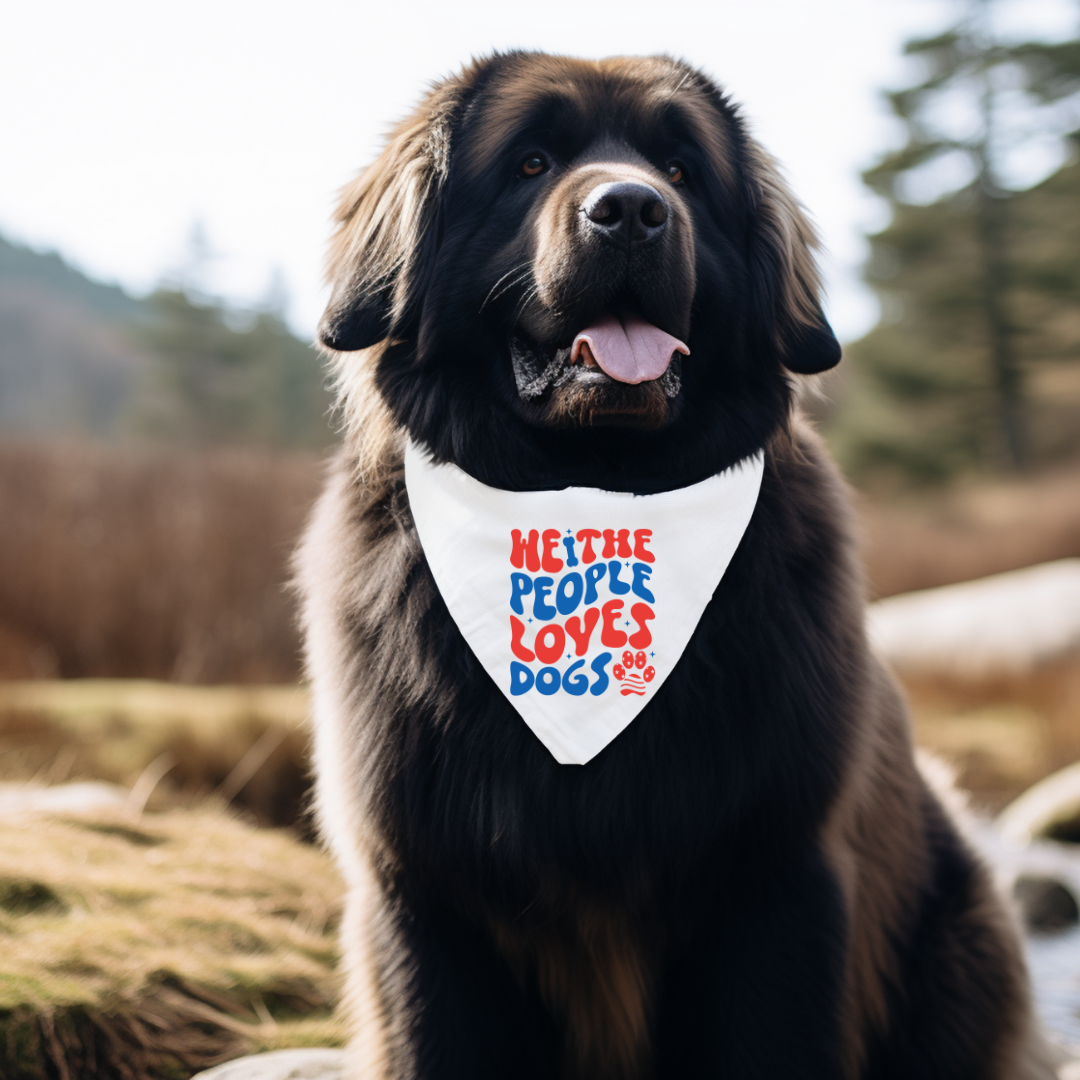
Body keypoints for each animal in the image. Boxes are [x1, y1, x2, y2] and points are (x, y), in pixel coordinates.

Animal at [293, 52, 1054, 1080]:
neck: (592, 496)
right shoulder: (425, 899)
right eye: (530, 162)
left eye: (683, 172)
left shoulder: (777, 879)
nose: (631, 210)